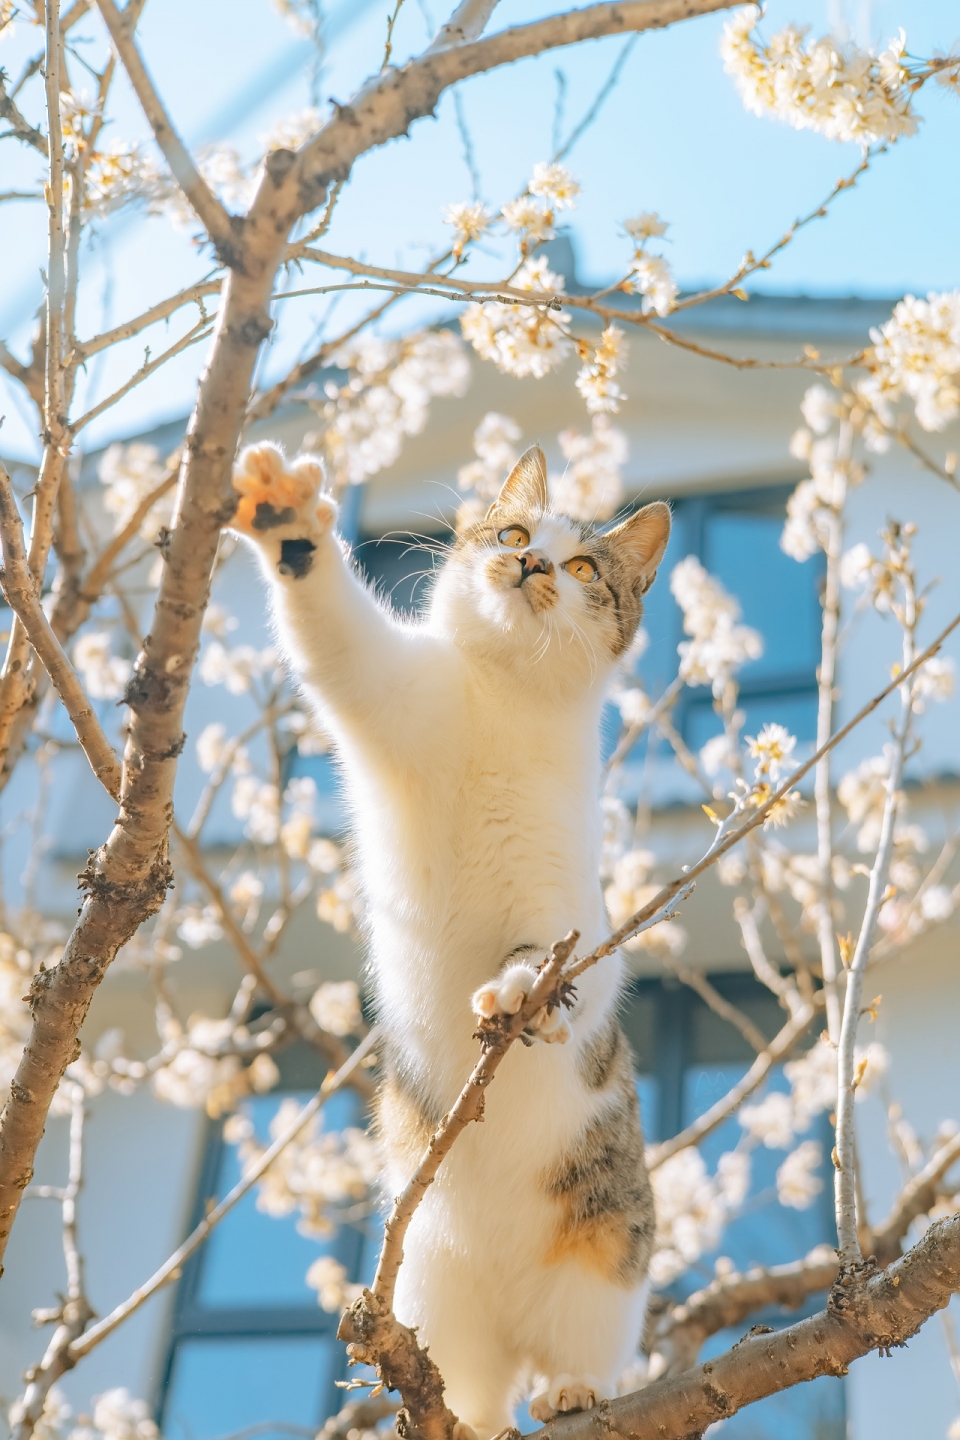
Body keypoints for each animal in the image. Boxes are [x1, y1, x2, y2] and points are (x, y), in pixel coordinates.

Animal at [228, 437, 673, 1440]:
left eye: (585, 567)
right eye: (511, 532)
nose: (533, 563)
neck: (502, 704)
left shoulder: (566, 897)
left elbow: (559, 959)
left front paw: (519, 993)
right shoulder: (388, 692)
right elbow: (335, 638)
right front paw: (289, 522)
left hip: (603, 1259)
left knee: (577, 1347)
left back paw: (571, 1392)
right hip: (433, 1283)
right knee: (466, 1380)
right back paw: (474, 1416)